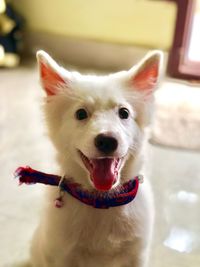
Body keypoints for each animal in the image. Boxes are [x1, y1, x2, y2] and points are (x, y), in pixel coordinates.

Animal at [30, 49, 163, 266]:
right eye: (81, 114)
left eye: (124, 113)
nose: (107, 141)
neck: (102, 201)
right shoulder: (62, 255)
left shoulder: (137, 255)